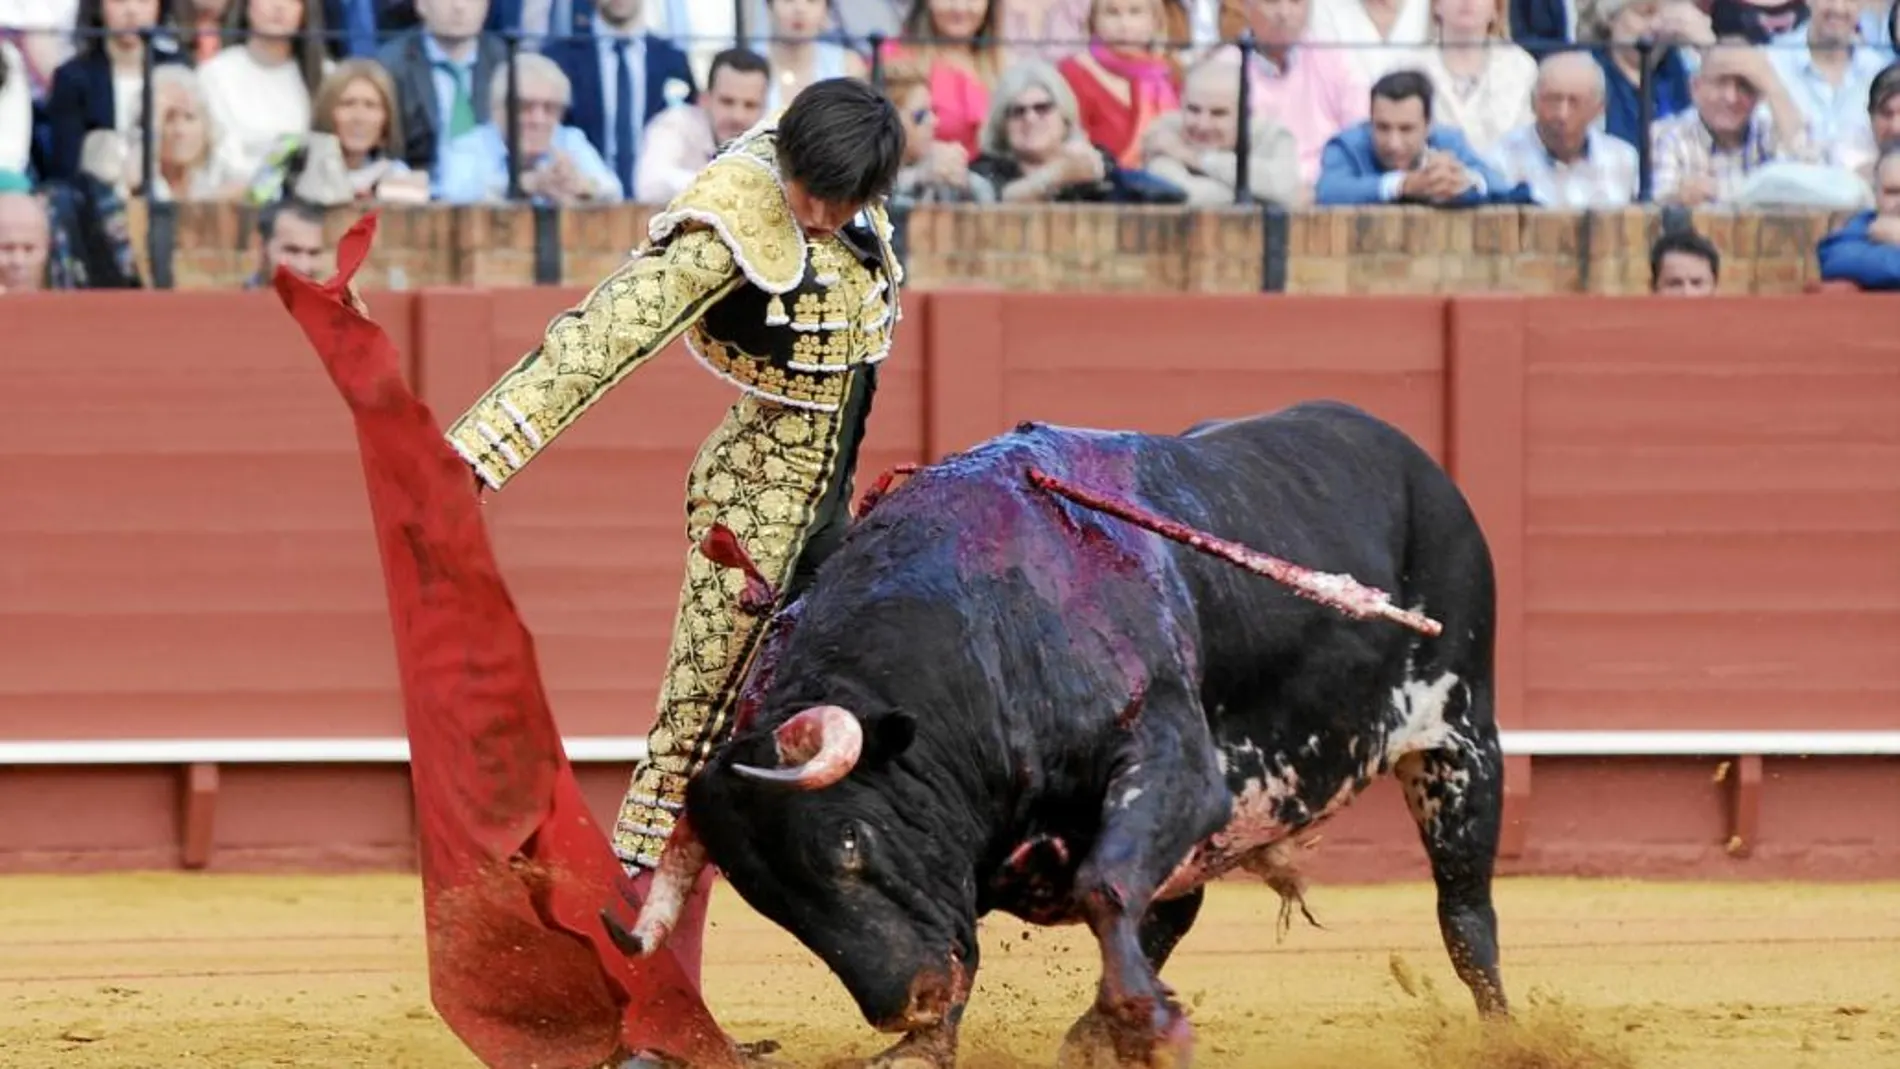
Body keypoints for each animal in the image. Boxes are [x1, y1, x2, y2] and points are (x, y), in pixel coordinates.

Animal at [615, 404, 1504, 1069]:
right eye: (769, 900)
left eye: (848, 843)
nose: (909, 1000)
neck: (989, 628)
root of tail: (1414, 461)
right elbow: (1006, 935)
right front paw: (930, 1045)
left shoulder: (1177, 765)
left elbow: (1104, 886)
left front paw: (1153, 1026)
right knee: (1173, 908)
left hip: (1462, 742)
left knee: (1465, 914)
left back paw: (1505, 1033)